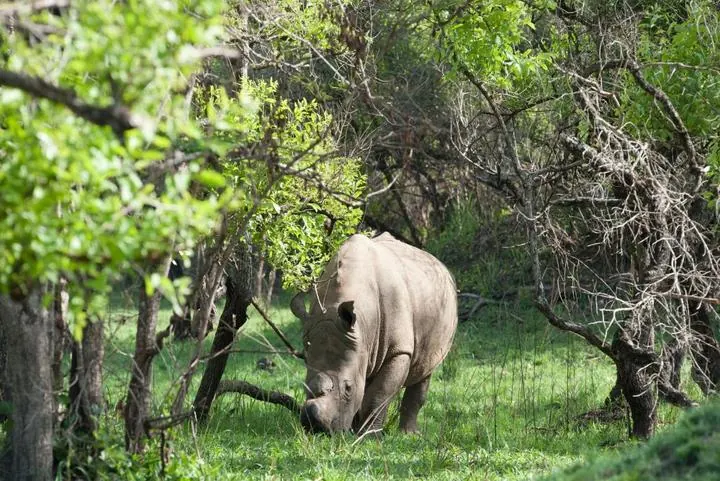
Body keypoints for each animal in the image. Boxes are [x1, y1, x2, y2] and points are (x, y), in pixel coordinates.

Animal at [291, 233, 457, 435]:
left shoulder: (398, 351)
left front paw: (369, 436)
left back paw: (408, 434)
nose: (318, 428)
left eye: (348, 388)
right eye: (304, 384)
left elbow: (378, 395)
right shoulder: (358, 343)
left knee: (425, 370)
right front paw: (356, 432)